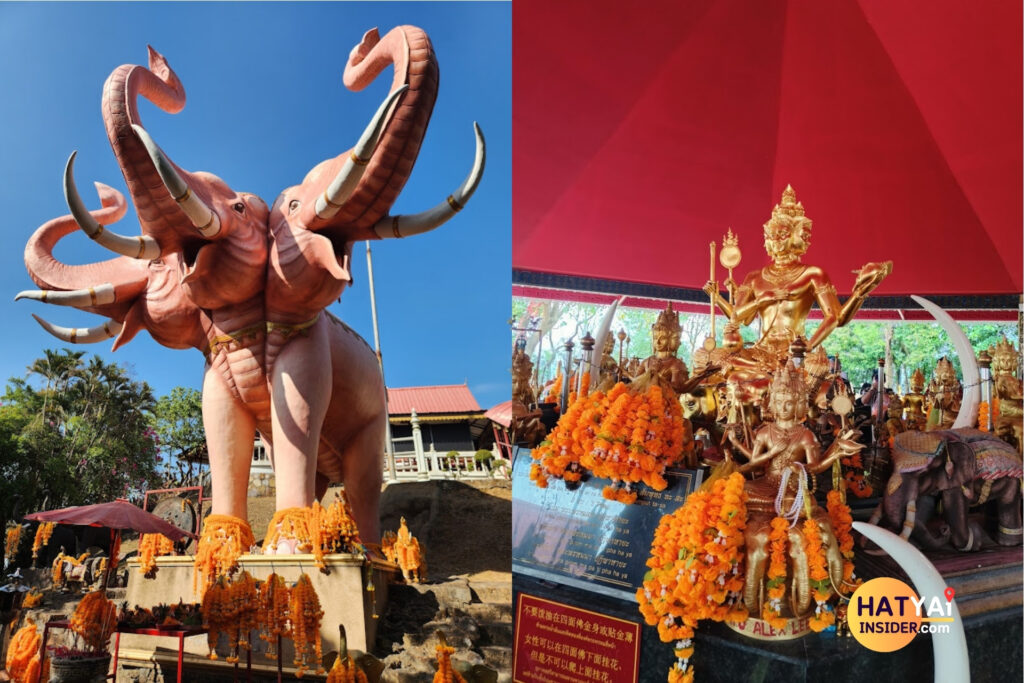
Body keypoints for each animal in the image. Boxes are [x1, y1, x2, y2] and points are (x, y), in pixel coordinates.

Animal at [17, 26, 483, 548]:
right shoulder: (216, 363)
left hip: (374, 416)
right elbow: (221, 425)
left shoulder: (310, 344)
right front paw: (227, 550)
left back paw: (364, 549)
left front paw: (290, 552)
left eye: (241, 209)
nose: (159, 65)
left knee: (362, 480)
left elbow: (298, 408)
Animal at [872, 430, 1024, 552]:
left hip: (1013, 480)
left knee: (1008, 501)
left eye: (922, 473)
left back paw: (1008, 543)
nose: (944, 529)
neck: (944, 438)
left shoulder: (958, 479)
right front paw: (916, 547)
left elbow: (954, 510)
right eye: (891, 466)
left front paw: (974, 539)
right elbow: (926, 504)